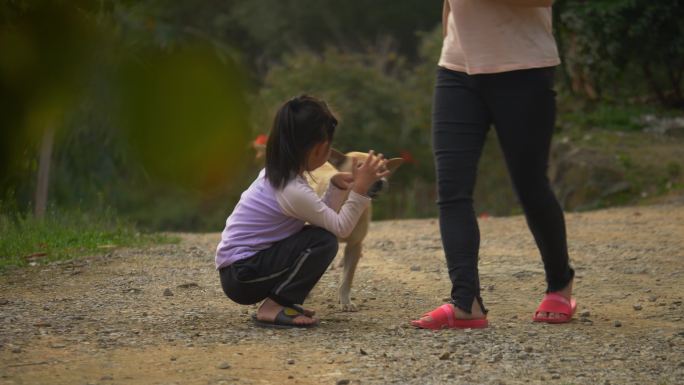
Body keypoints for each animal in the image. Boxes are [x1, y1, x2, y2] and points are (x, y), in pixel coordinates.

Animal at [308, 148, 404, 310]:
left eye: (382, 169)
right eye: (361, 166)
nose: (380, 182)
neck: (346, 201)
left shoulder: (354, 246)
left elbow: (347, 279)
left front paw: (345, 301)